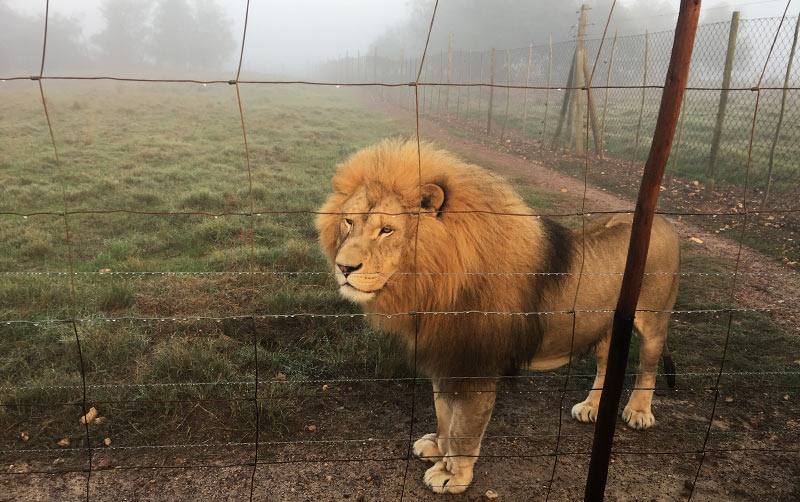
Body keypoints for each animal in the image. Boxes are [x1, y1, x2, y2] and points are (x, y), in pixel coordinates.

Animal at [316, 139, 680, 494]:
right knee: (606, 364)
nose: (344, 268)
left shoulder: (477, 364)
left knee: (648, 366)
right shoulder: (446, 355)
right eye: (348, 221)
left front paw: (452, 475)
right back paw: (591, 407)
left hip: (653, 319)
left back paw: (638, 412)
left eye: (387, 230)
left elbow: (463, 427)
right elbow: (443, 412)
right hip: (604, 324)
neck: (435, 282)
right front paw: (438, 447)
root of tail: (663, 222)